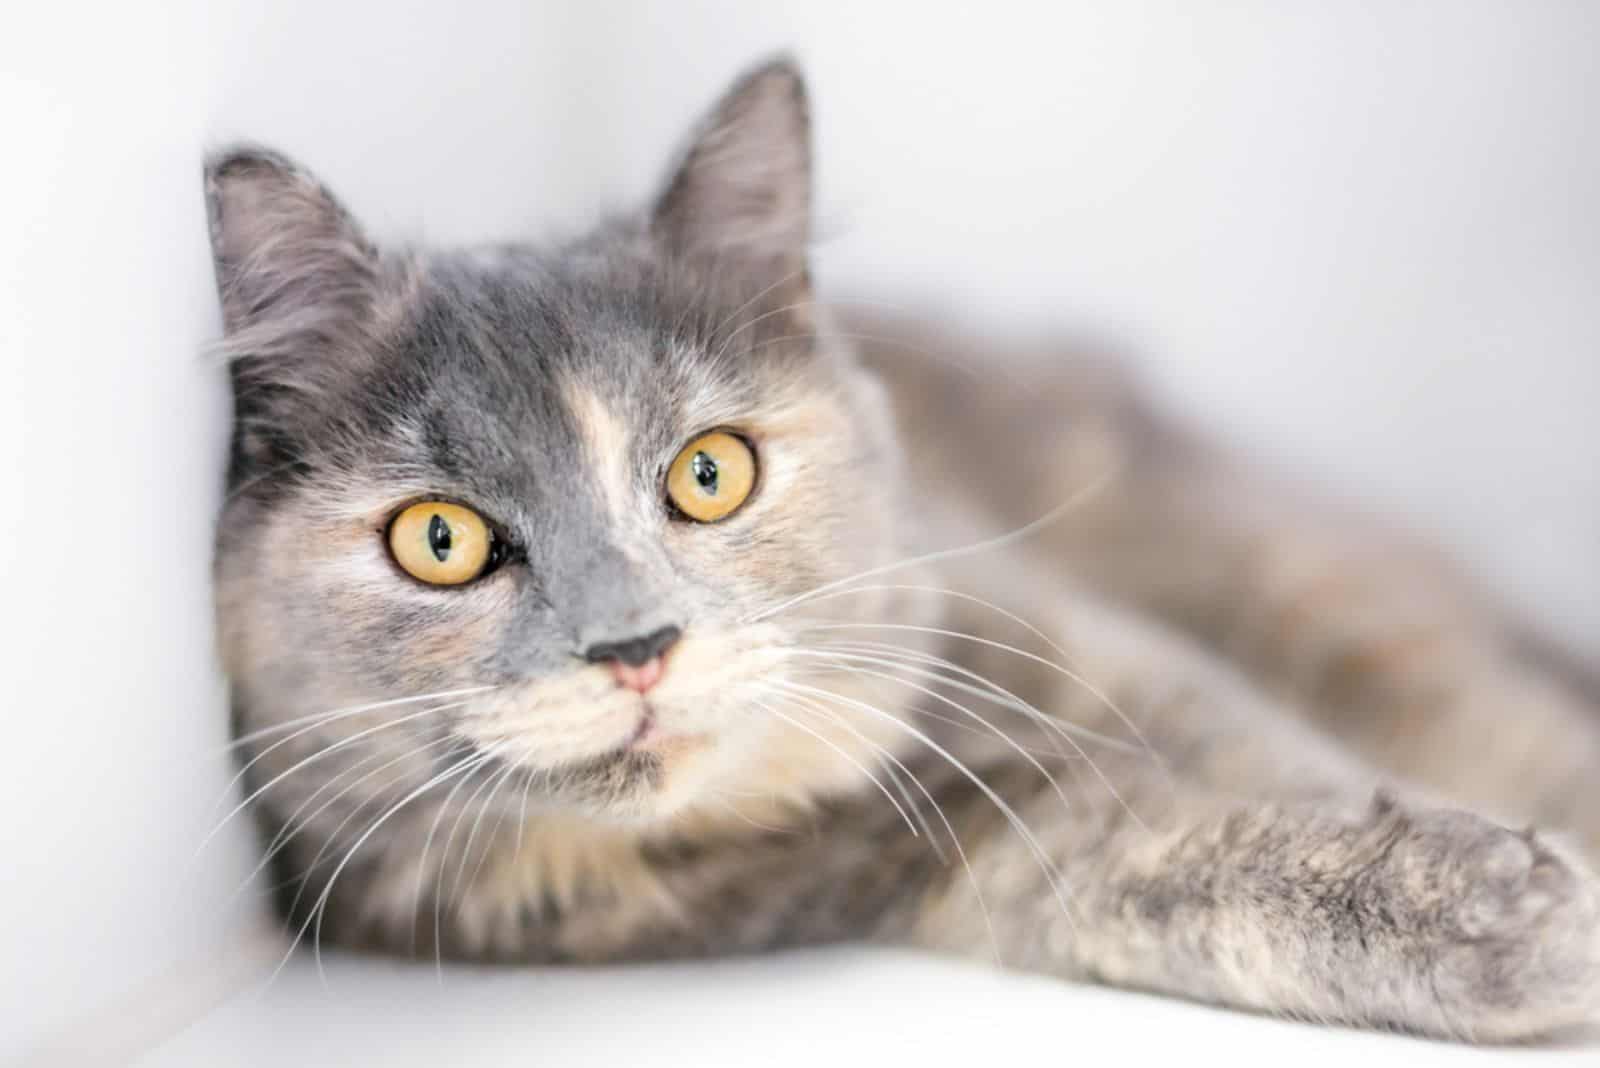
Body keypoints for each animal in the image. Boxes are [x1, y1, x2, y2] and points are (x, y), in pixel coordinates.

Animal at [209, 58, 1600, 1042]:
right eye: (441, 539)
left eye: (709, 473)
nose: (635, 646)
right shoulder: (957, 855)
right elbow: (1172, 875)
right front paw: (1514, 918)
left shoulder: (1084, 647)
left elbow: (1278, 756)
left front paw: (1496, 890)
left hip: (1313, 592)